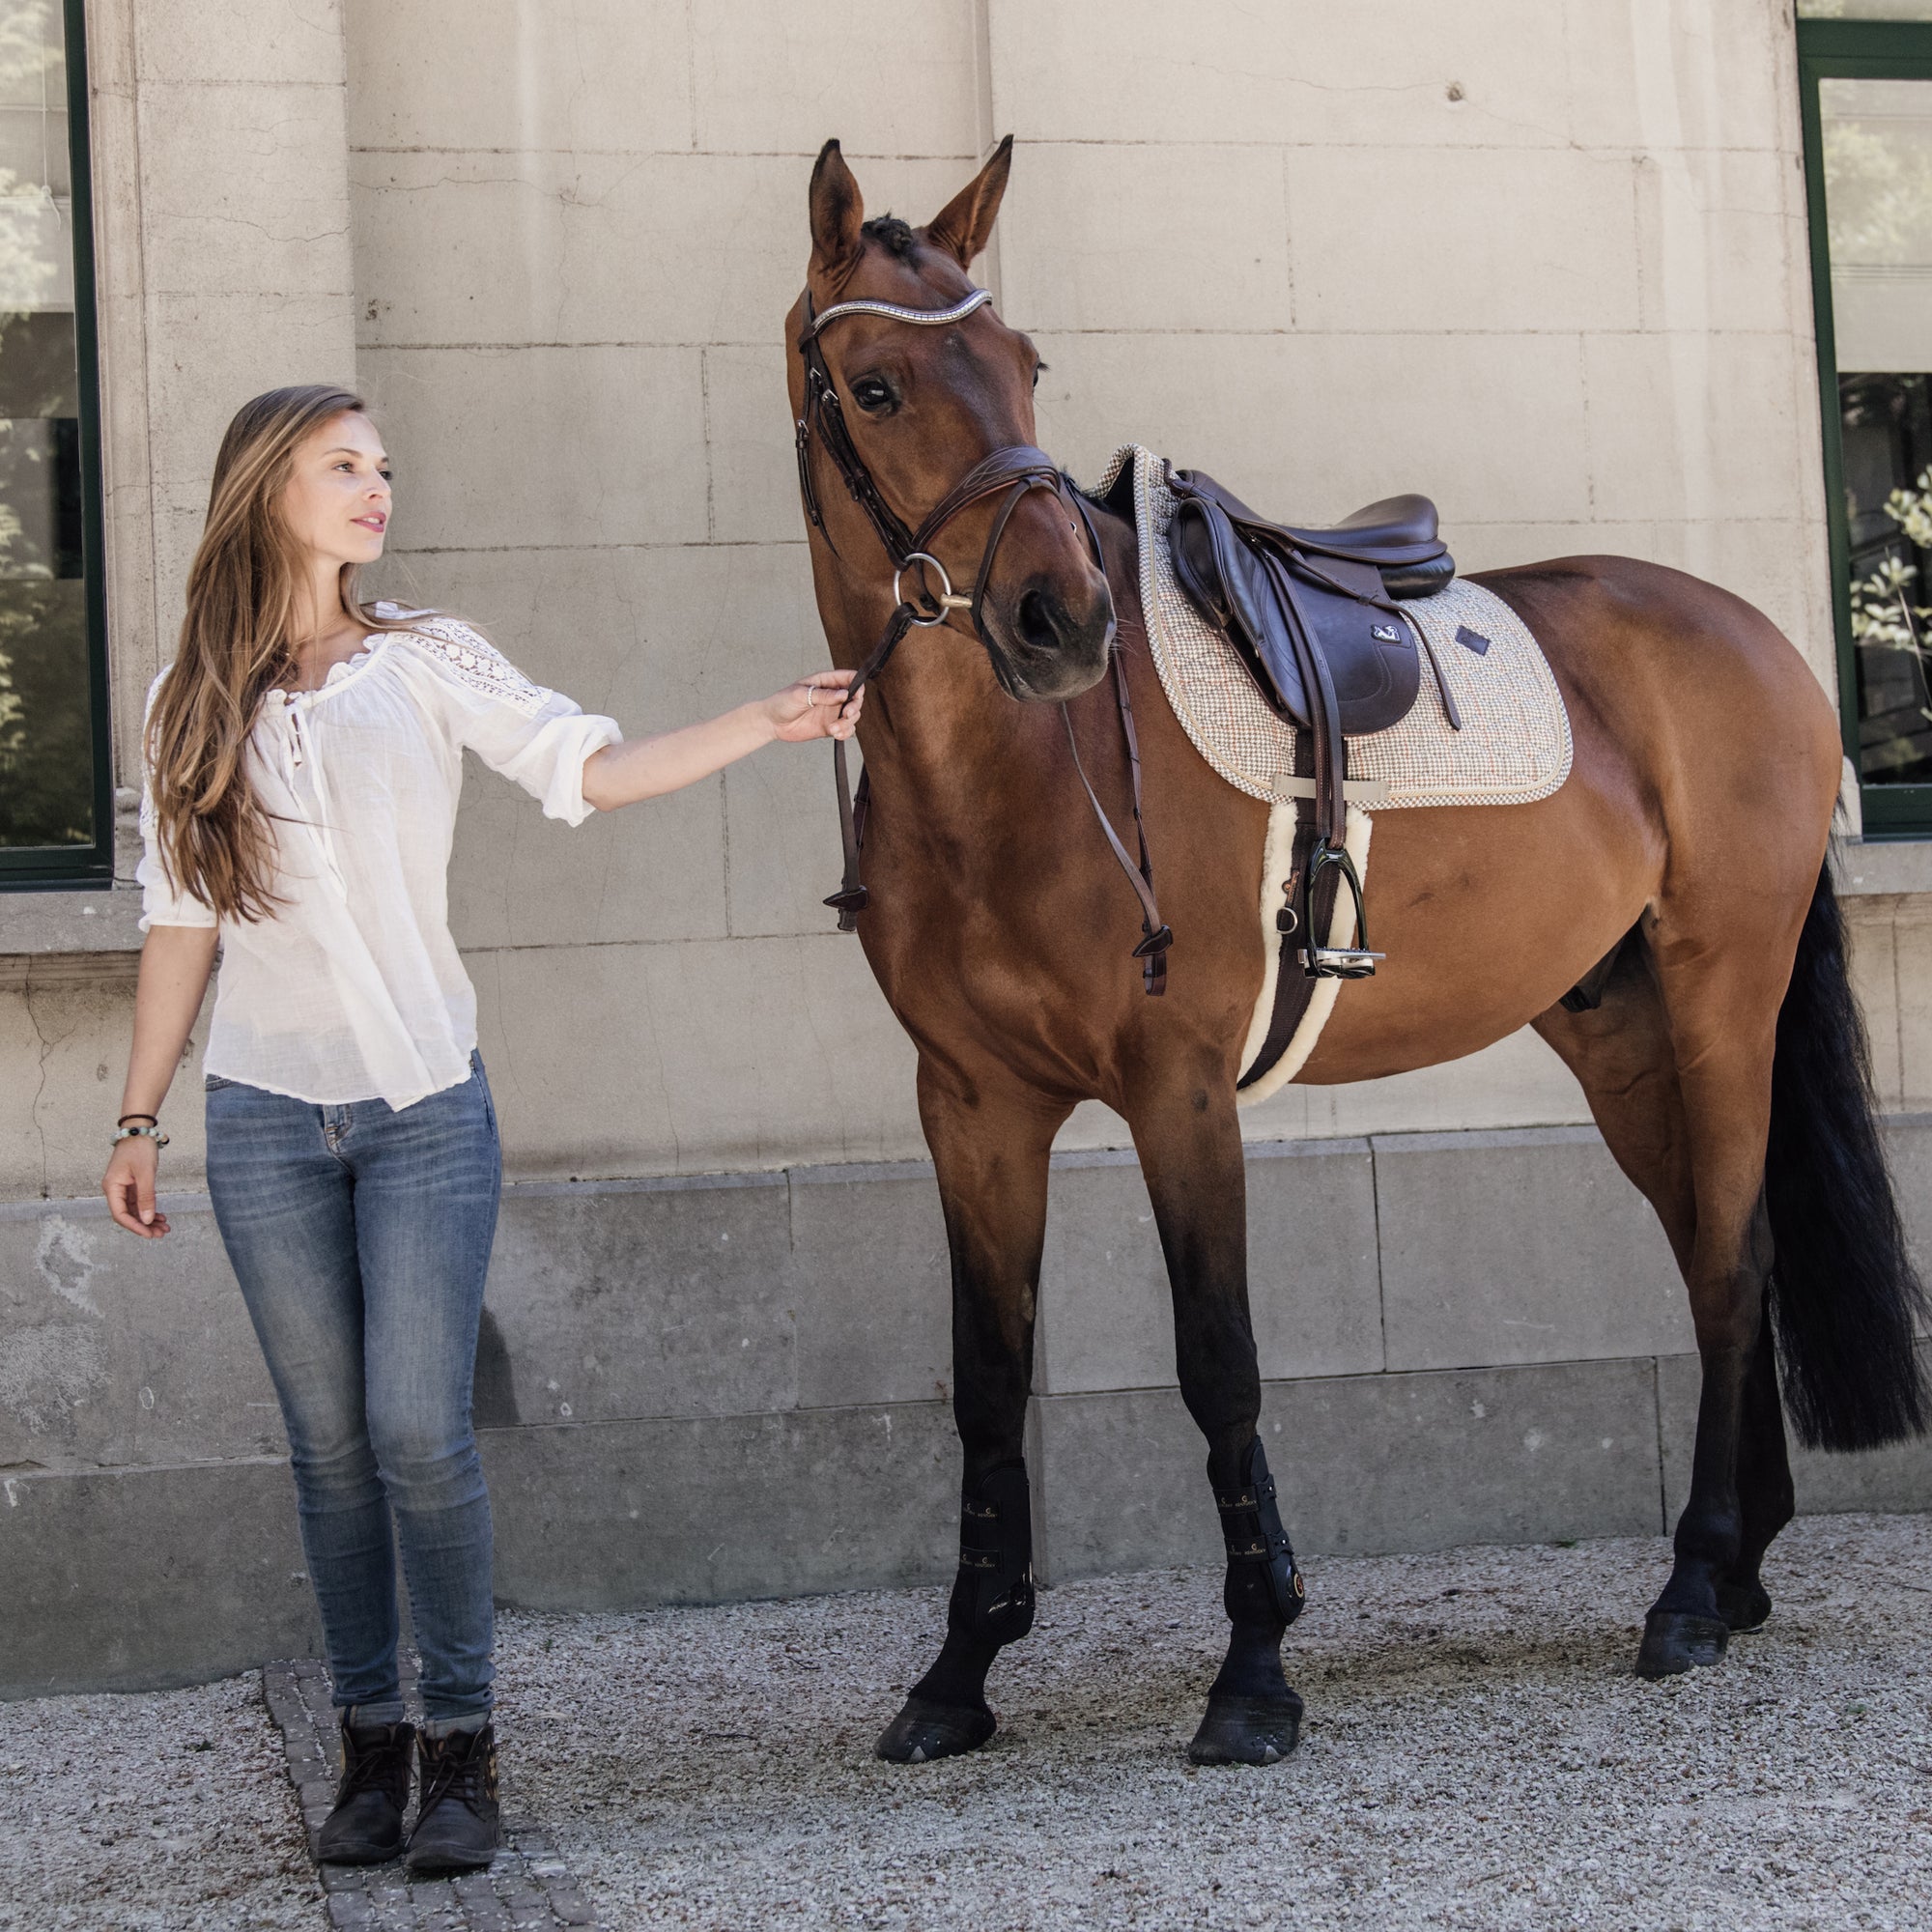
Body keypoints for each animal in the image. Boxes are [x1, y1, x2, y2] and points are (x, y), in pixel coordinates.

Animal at [781, 136, 1917, 1770]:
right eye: (874, 385)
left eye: (1024, 365)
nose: (1060, 618)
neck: (1018, 770)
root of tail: (1758, 638)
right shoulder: (973, 1110)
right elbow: (988, 1387)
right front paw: (957, 1671)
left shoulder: (1180, 1093)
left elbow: (1220, 1364)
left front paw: (1255, 1669)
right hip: (1619, 1033)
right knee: (1719, 1247)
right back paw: (1743, 1563)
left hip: (1724, 1003)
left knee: (1732, 1257)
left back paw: (1695, 1586)